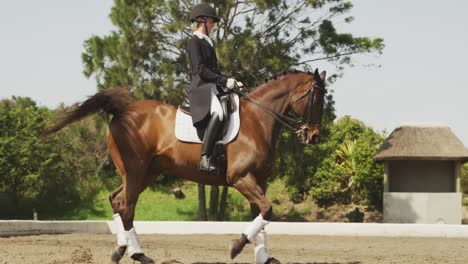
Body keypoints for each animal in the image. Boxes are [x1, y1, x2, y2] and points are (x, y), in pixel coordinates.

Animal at [42, 68, 328, 264]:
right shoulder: (241, 178)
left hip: (147, 172)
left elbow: (262, 215)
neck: (257, 120)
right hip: (135, 170)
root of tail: (122, 111)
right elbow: (267, 211)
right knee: (126, 206)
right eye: (316, 99)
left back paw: (123, 250)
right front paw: (236, 247)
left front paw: (264, 257)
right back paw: (137, 254)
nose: (314, 136)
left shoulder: (260, 180)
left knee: (117, 199)